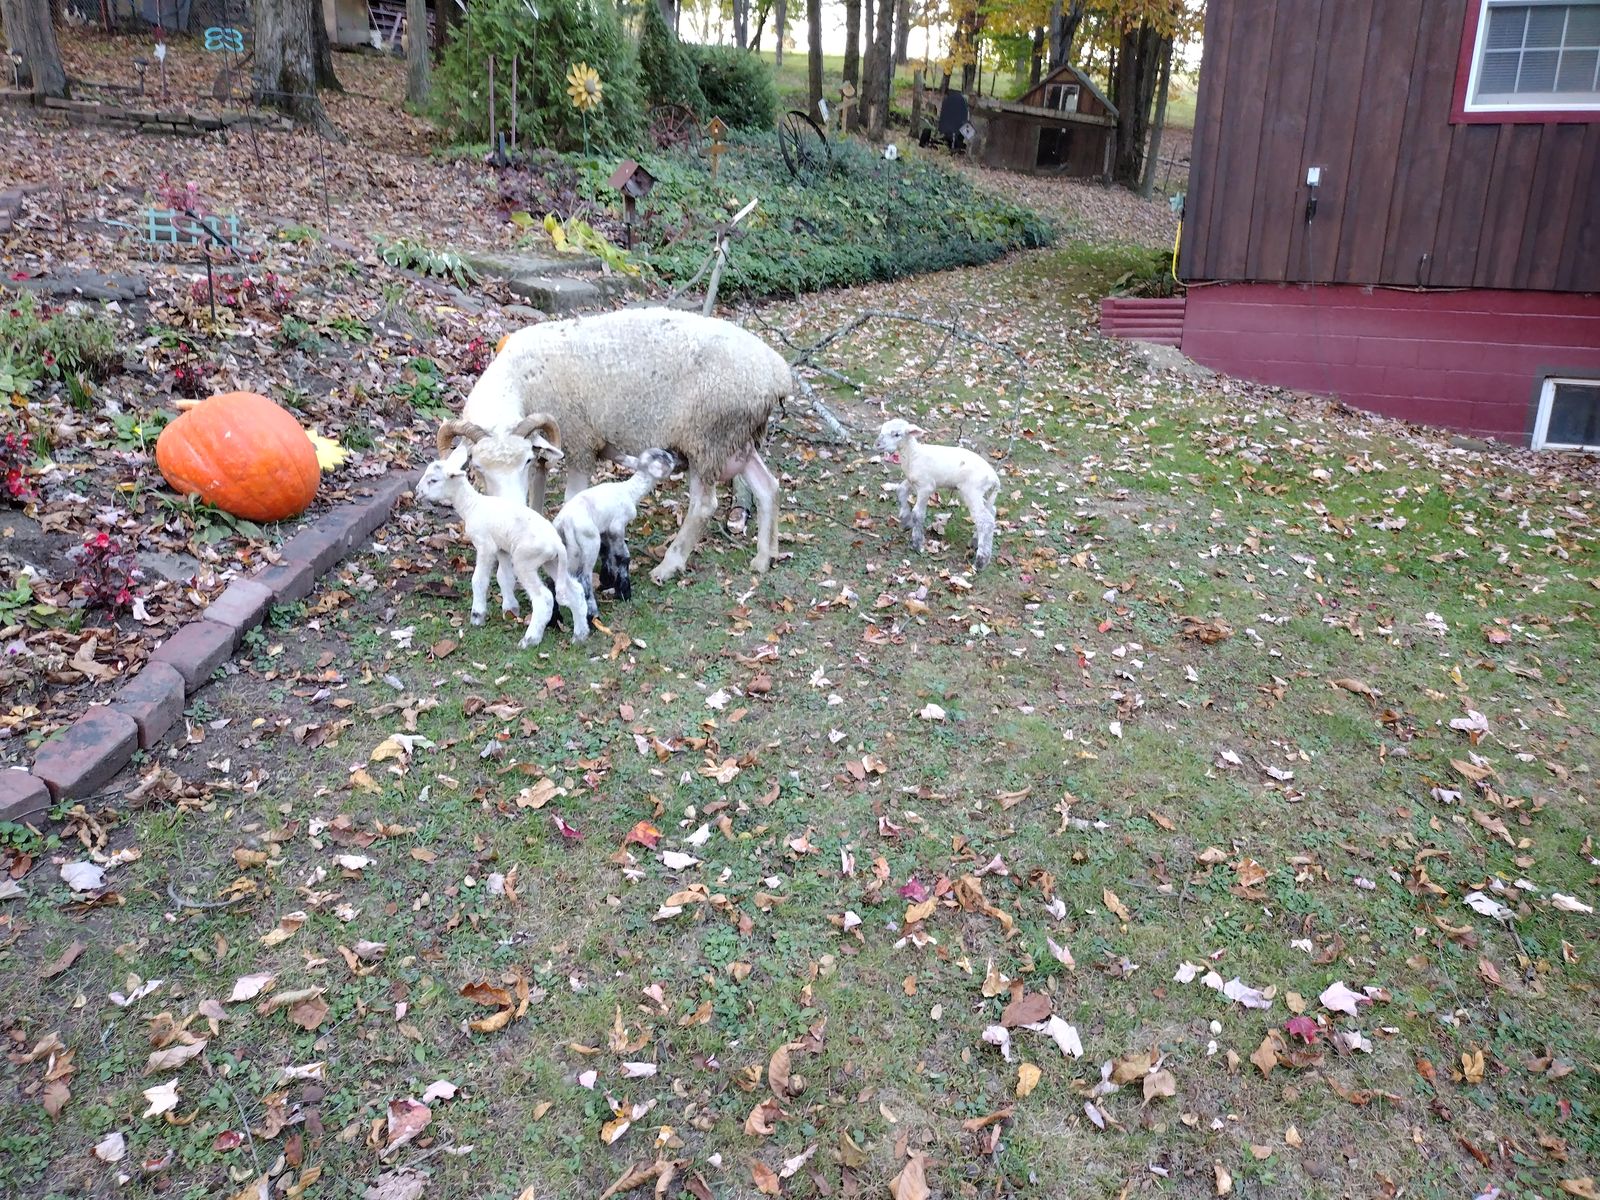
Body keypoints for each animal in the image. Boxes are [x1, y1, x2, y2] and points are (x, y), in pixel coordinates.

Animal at [414, 446, 590, 648]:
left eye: (433, 480)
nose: (417, 491)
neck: (472, 505)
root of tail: (557, 544)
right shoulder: (501, 549)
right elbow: (504, 577)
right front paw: (509, 608)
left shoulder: (485, 545)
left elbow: (479, 580)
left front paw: (477, 615)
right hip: (552, 562)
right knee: (575, 590)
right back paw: (580, 635)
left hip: (525, 560)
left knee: (544, 598)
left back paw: (530, 640)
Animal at [435, 307, 792, 583]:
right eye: (477, 468)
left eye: (519, 463)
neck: (519, 377)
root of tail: (778, 374)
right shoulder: (545, 449)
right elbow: (536, 497)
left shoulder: (580, 443)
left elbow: (572, 499)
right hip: (736, 439)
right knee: (768, 487)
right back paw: (766, 556)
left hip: (708, 437)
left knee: (703, 506)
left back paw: (669, 565)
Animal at [552, 448, 678, 619]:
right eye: (664, 456)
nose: (675, 453)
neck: (630, 491)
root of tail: (565, 522)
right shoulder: (617, 526)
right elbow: (623, 556)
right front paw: (624, 591)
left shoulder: (605, 529)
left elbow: (607, 553)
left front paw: (607, 580)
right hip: (589, 541)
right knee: (583, 577)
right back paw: (592, 614)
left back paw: (555, 618)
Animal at [875, 417, 1000, 571]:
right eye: (882, 429)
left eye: (897, 434)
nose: (877, 444)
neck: (913, 455)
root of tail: (994, 479)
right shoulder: (913, 481)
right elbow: (901, 491)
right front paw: (905, 520)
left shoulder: (926, 486)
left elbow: (918, 513)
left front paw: (917, 544)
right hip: (978, 492)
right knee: (991, 512)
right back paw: (976, 541)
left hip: (972, 490)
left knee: (985, 521)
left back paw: (981, 561)